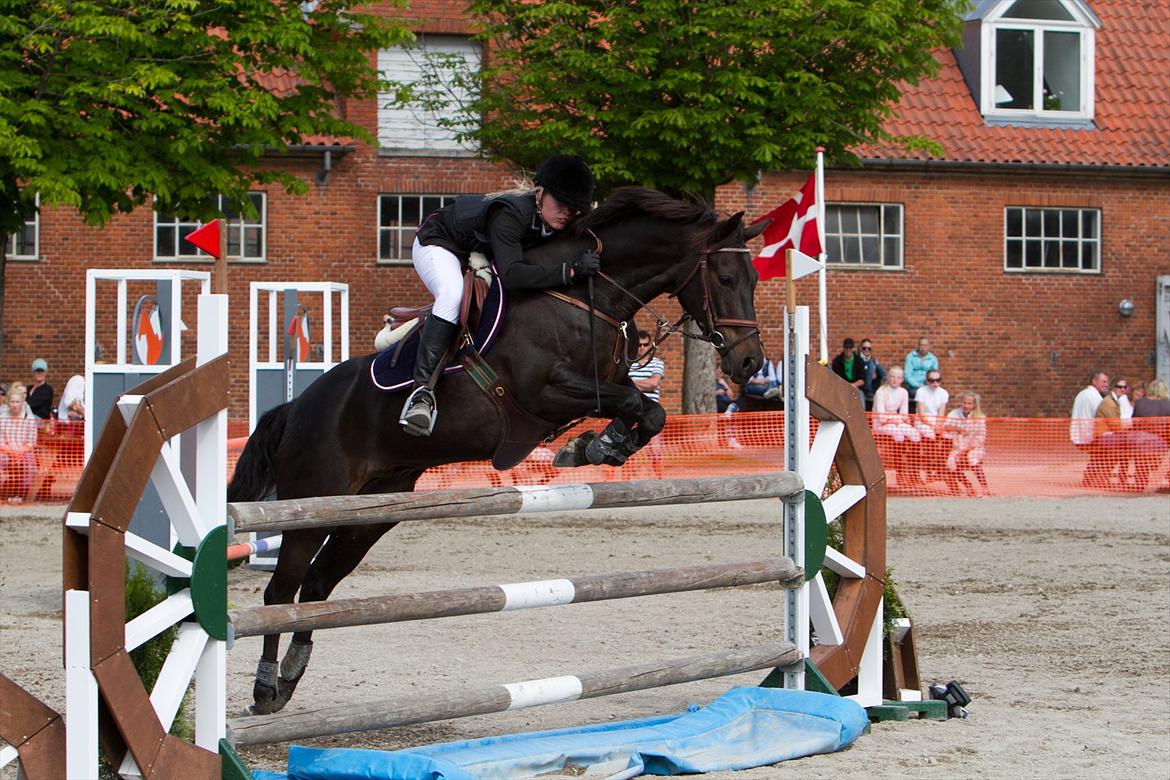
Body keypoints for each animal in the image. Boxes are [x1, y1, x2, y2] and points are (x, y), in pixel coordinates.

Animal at [230, 187, 767, 715]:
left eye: (755, 279)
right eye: (724, 277)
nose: (750, 363)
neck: (587, 297)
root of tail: (296, 407)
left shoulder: (605, 383)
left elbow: (649, 413)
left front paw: (597, 447)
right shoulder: (544, 393)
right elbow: (635, 402)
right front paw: (594, 446)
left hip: (371, 512)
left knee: (317, 586)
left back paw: (289, 677)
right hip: (312, 504)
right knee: (281, 591)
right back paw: (264, 689)